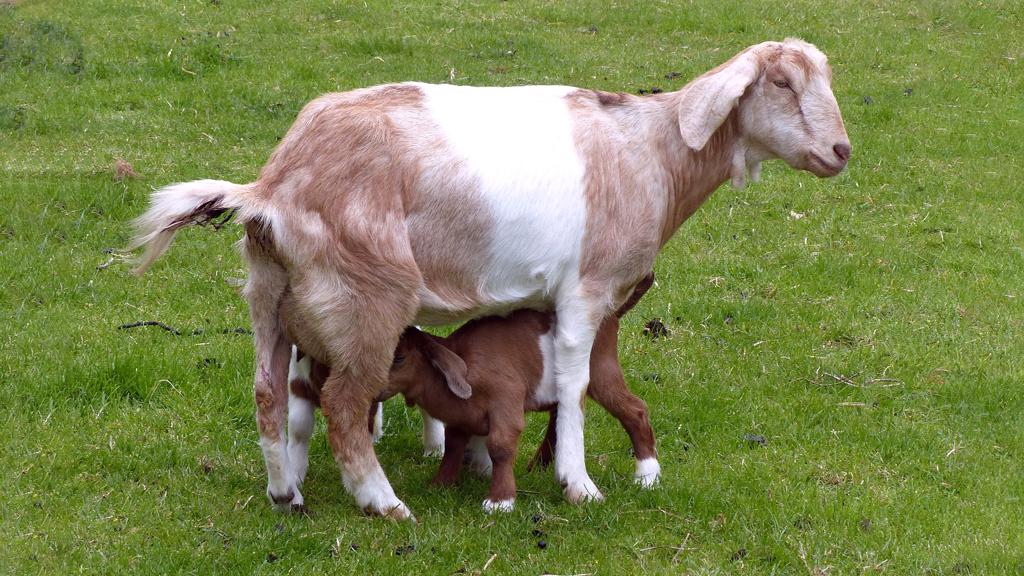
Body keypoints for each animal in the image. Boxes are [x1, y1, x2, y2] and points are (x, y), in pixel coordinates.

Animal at [130, 38, 847, 518]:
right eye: (781, 83)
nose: (840, 152)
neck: (653, 155)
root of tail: (272, 188)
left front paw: (476, 459)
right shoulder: (585, 289)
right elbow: (575, 383)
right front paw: (578, 484)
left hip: (273, 297)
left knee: (269, 394)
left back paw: (287, 492)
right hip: (367, 296)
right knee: (342, 403)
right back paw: (383, 503)